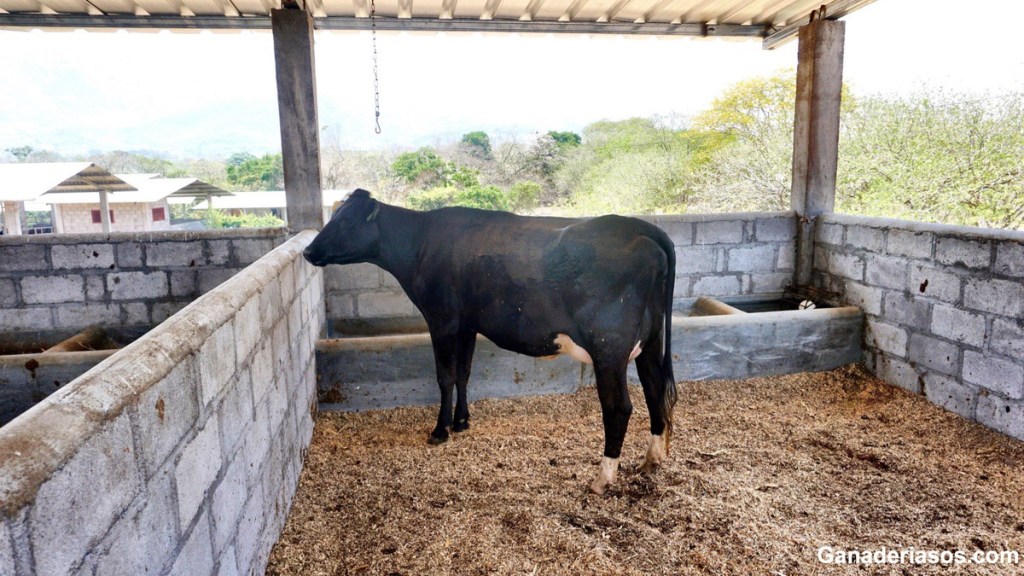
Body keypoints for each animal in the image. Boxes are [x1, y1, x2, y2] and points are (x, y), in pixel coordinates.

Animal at [303, 189, 678, 494]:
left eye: (344, 221)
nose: (307, 250)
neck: (421, 244)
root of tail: (642, 228)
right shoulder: (467, 324)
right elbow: (464, 373)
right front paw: (462, 422)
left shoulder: (441, 319)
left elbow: (445, 376)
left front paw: (440, 430)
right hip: (651, 342)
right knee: (654, 388)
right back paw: (652, 460)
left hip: (608, 348)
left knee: (619, 407)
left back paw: (602, 479)